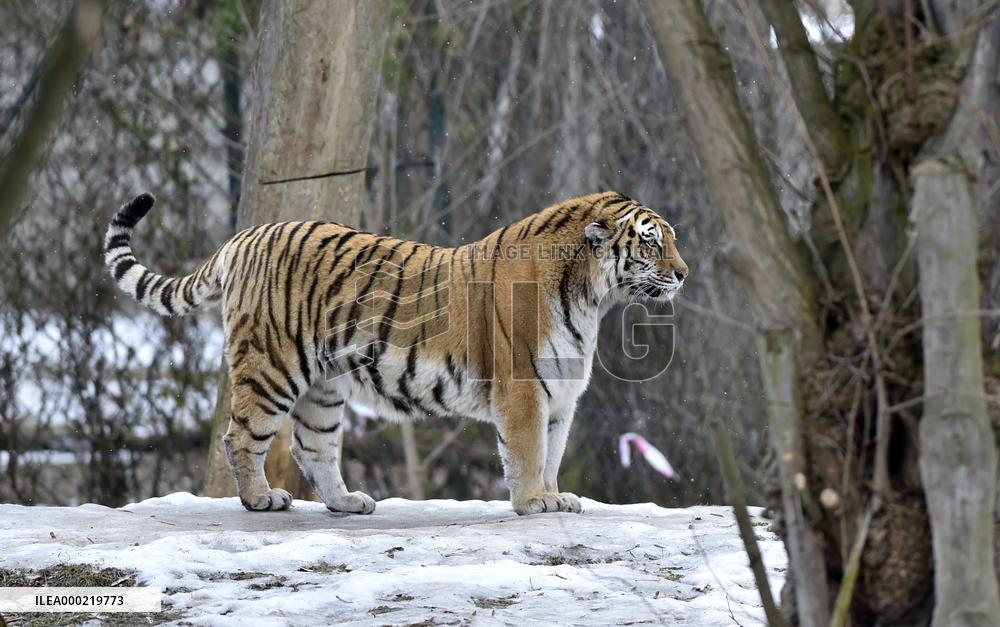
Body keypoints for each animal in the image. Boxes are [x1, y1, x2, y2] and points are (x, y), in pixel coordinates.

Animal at [104, 191, 688, 515]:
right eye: (653, 242)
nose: (684, 273)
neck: (592, 295)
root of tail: (242, 237)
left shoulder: (561, 395)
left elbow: (552, 453)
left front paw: (555, 495)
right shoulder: (524, 388)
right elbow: (526, 452)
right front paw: (532, 503)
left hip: (323, 387)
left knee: (311, 448)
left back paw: (346, 503)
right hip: (272, 367)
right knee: (241, 436)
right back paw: (260, 499)